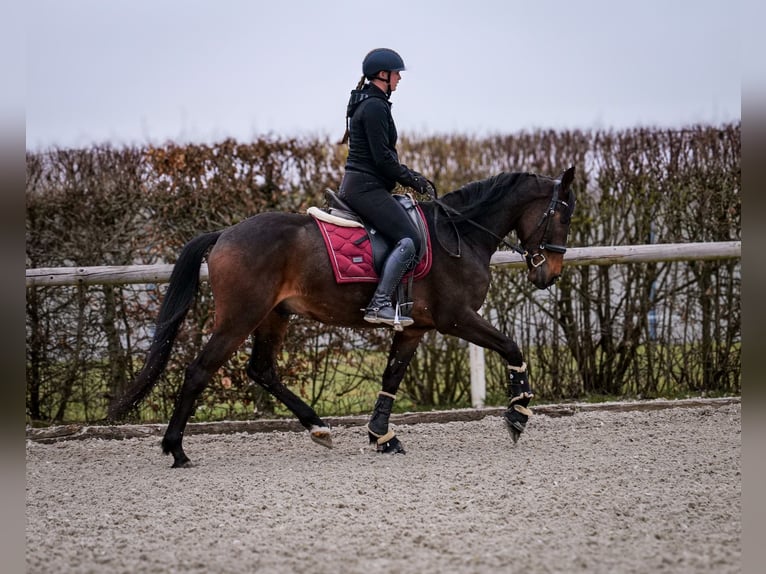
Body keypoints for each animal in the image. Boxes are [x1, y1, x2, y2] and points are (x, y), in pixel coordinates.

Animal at [108, 166, 576, 468]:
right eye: (563, 214)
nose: (549, 275)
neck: (459, 235)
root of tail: (225, 234)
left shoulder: (415, 328)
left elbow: (391, 378)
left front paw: (382, 436)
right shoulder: (456, 318)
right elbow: (512, 347)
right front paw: (518, 414)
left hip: (273, 316)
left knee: (262, 370)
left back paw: (318, 428)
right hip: (240, 317)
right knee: (199, 371)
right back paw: (177, 450)